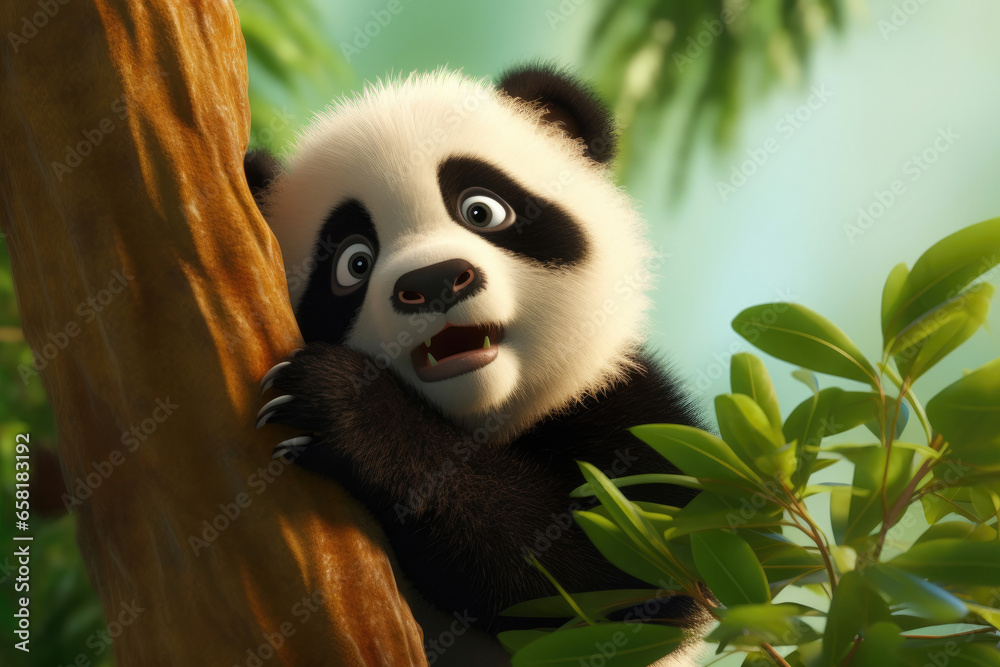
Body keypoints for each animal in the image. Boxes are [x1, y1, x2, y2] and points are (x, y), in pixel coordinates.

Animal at [247, 64, 709, 666]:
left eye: (481, 210)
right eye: (353, 262)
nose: (434, 281)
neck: (482, 414)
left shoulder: (629, 415)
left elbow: (614, 577)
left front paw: (345, 408)